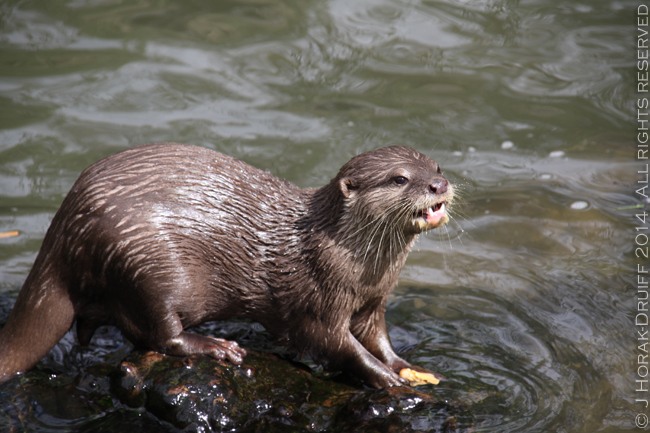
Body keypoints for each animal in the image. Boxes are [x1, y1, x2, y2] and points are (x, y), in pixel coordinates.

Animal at [0, 143, 450, 386]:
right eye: (399, 179)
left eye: (437, 167)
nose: (439, 185)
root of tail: (65, 229)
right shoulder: (318, 301)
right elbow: (337, 345)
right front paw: (386, 379)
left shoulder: (373, 302)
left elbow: (378, 338)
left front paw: (409, 369)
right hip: (143, 264)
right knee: (158, 335)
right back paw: (217, 347)